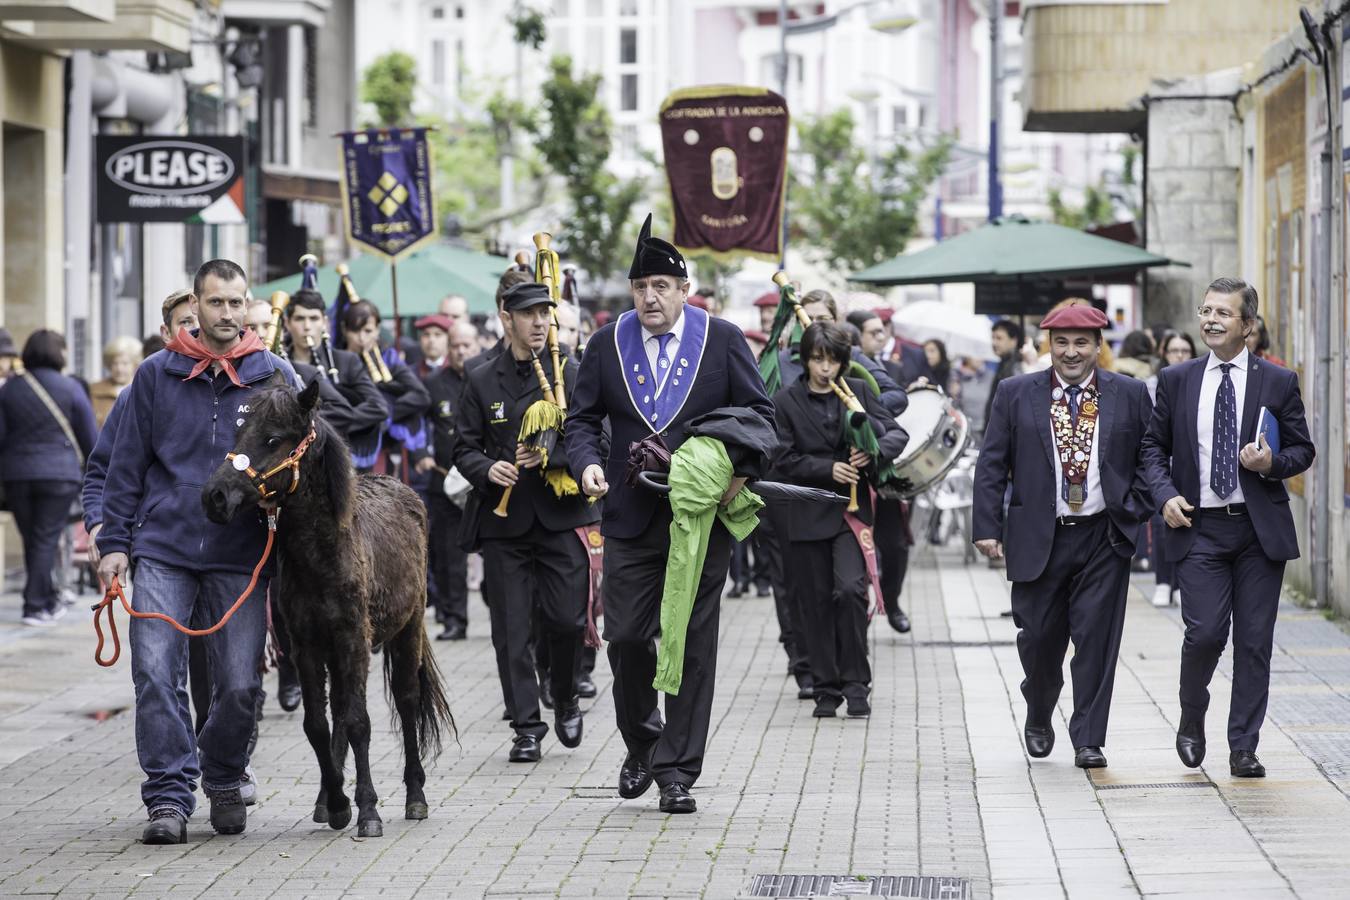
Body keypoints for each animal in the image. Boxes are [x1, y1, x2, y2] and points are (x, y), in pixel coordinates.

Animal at [201, 380, 453, 836]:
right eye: (239, 433)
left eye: (273, 439)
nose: (215, 496)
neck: (323, 555)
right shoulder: (307, 645)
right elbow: (319, 723)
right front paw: (336, 803)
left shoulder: (354, 640)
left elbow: (358, 722)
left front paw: (367, 810)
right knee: (336, 708)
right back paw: (325, 800)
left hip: (407, 629)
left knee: (406, 701)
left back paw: (415, 796)